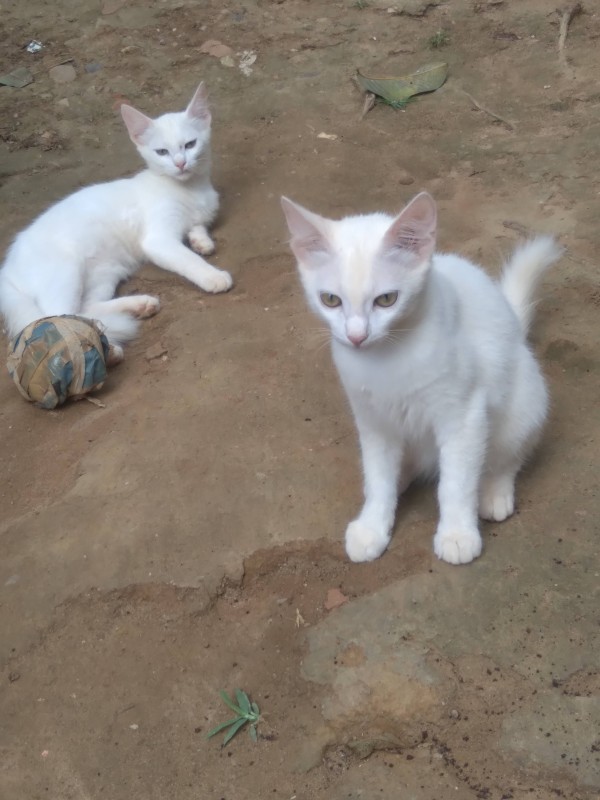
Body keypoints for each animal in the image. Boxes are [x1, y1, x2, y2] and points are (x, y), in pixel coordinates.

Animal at [0, 81, 232, 362]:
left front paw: (202, 241)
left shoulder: (199, 213)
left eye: (190, 144)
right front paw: (212, 276)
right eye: (162, 152)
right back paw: (106, 348)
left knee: (84, 309)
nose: (180, 163)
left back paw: (136, 308)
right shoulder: (158, 240)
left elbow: (198, 227)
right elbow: (188, 259)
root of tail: (6, 270)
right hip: (66, 269)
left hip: (105, 272)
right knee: (55, 314)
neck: (191, 189)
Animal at [282, 191, 564, 564]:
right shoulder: (372, 420)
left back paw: (493, 491)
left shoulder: (464, 417)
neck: (387, 357)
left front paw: (457, 533)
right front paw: (373, 524)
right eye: (330, 300)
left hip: (524, 402)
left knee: (507, 457)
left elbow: (456, 483)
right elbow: (378, 476)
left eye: (387, 300)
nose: (356, 337)